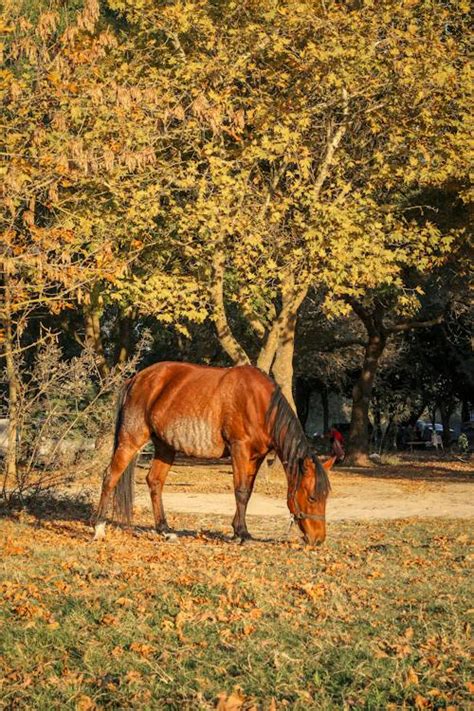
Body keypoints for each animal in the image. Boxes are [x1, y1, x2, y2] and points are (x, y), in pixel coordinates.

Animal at [92, 364, 330, 548]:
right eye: (312, 497)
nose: (318, 539)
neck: (260, 405)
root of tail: (136, 379)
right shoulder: (239, 449)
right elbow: (241, 491)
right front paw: (243, 534)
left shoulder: (257, 456)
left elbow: (248, 492)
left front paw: (238, 531)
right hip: (131, 440)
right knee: (110, 476)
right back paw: (99, 527)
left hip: (165, 447)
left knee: (155, 482)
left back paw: (165, 530)